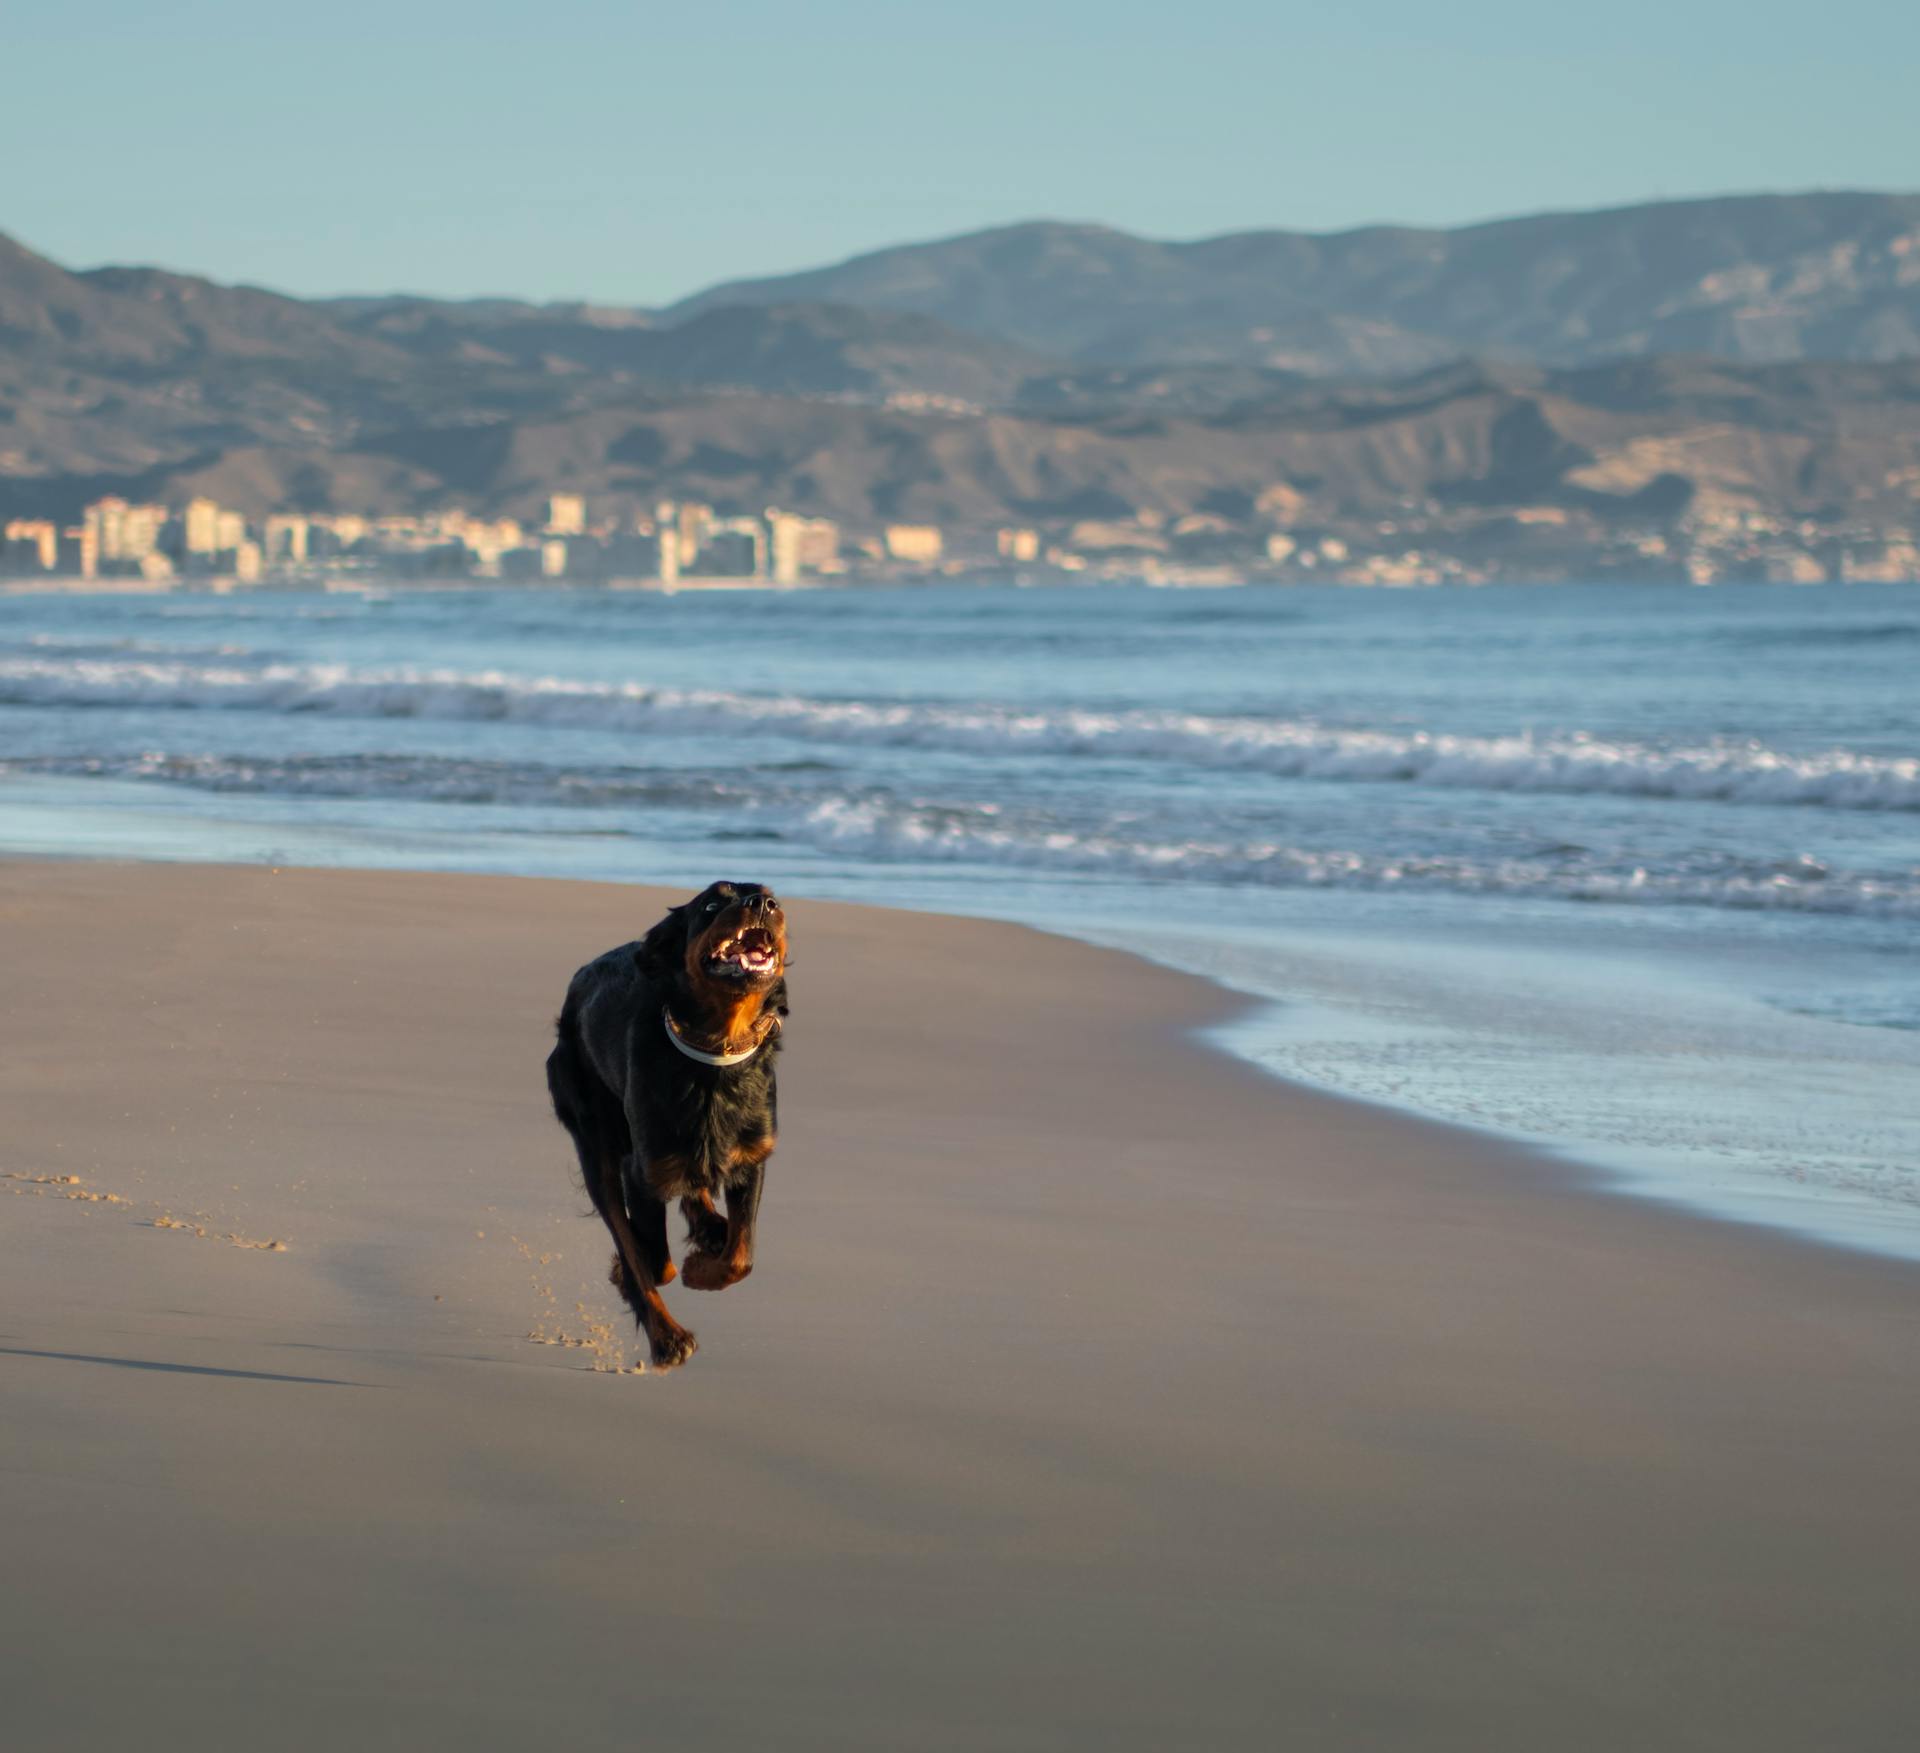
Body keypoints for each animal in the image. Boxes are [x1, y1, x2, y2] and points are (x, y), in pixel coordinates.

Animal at [545, 875, 791, 1367]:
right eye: (712, 904)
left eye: (772, 897)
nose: (763, 904)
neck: (715, 1056)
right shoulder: (641, 1170)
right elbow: (650, 1262)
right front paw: (641, 1280)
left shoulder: (752, 1156)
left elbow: (741, 1255)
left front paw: (704, 1266)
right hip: (594, 1134)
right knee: (626, 1226)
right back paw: (668, 1338)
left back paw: (710, 1227)